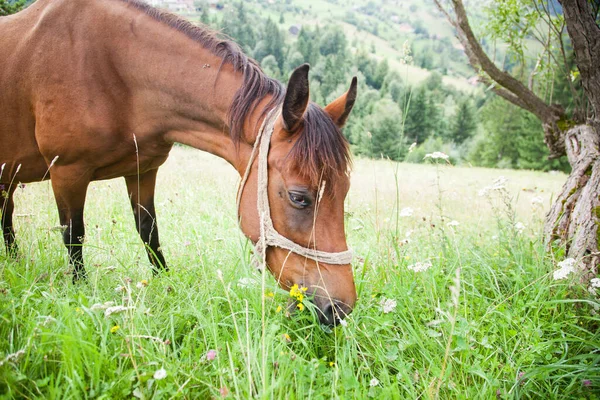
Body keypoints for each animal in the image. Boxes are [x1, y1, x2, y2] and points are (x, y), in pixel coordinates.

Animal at [0, 0, 356, 324]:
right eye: (299, 198)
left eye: (344, 192)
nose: (339, 309)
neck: (113, 69)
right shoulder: (67, 172)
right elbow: (73, 235)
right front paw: (80, 290)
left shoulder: (143, 170)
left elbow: (149, 231)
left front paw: (164, 285)